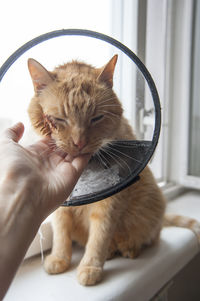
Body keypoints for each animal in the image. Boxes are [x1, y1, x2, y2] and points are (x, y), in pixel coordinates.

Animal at [27, 55, 200, 284]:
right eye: (59, 119)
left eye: (96, 118)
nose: (79, 143)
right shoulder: (62, 206)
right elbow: (61, 232)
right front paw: (59, 258)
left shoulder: (110, 202)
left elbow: (99, 237)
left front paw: (90, 267)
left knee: (149, 238)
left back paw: (128, 248)